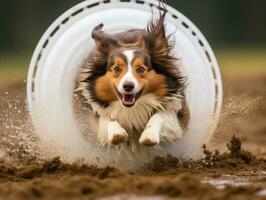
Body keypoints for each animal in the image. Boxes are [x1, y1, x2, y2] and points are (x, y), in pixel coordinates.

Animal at [78, 9, 190, 147]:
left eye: (141, 69)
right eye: (117, 69)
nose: (128, 86)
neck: (133, 108)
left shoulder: (174, 107)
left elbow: (160, 114)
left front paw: (149, 136)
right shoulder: (98, 113)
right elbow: (107, 117)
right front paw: (117, 134)